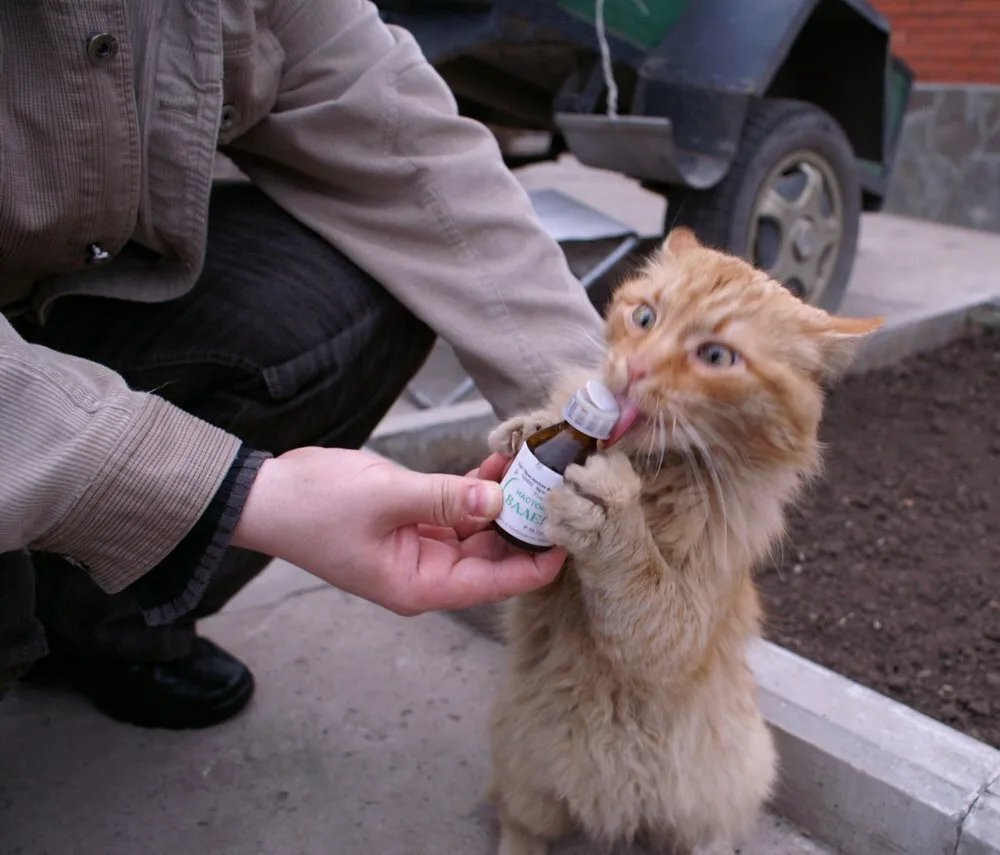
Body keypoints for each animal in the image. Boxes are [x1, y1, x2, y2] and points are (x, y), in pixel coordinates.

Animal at [488, 227, 880, 855]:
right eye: (645, 317)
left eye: (716, 357)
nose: (633, 370)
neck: (653, 473)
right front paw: (526, 427)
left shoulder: (678, 630)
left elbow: (637, 582)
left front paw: (609, 514)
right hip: (521, 764)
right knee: (522, 825)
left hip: (734, 779)